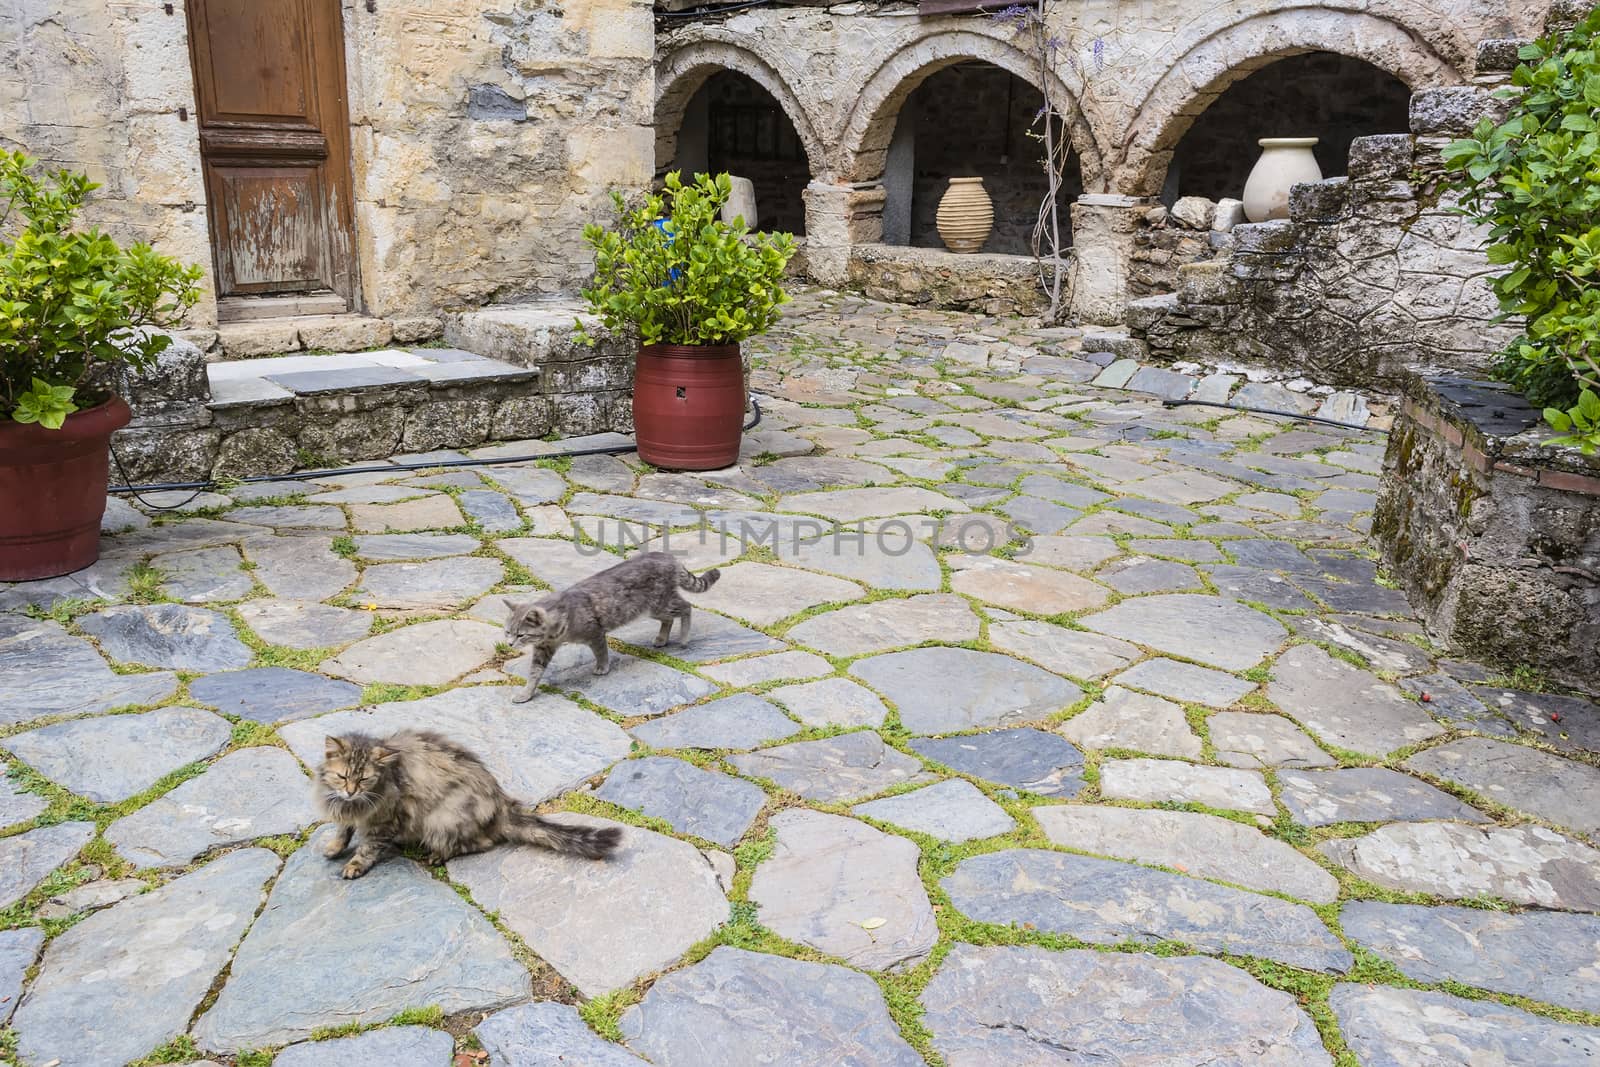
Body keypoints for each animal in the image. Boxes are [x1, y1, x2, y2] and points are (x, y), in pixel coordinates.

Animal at [313, 729, 617, 883]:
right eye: (343, 777)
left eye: (364, 779)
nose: (350, 791)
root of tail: (501, 802)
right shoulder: (347, 810)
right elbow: (343, 830)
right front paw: (334, 847)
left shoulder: (385, 820)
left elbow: (367, 848)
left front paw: (354, 864)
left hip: (442, 819)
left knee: (481, 843)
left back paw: (437, 855)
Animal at [505, 550, 720, 710]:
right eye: (507, 632)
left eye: (521, 634)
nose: (509, 644)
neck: (555, 632)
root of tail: (668, 557)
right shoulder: (543, 649)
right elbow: (534, 674)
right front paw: (526, 693)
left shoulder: (595, 633)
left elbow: (601, 652)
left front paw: (602, 668)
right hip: (652, 609)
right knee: (668, 620)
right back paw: (661, 639)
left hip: (661, 604)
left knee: (687, 607)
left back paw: (684, 638)